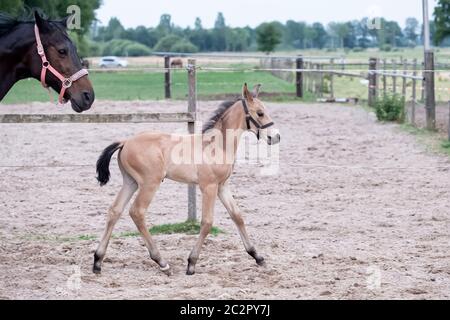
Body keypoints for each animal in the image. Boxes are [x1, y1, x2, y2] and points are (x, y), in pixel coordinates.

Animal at [93, 83, 280, 276]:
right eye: (260, 113)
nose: (276, 137)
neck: (216, 146)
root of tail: (125, 142)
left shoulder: (222, 186)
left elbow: (237, 216)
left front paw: (257, 256)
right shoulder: (209, 186)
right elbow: (207, 222)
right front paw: (191, 263)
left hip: (130, 182)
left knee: (115, 211)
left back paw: (98, 261)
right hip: (149, 183)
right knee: (137, 212)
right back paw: (161, 262)